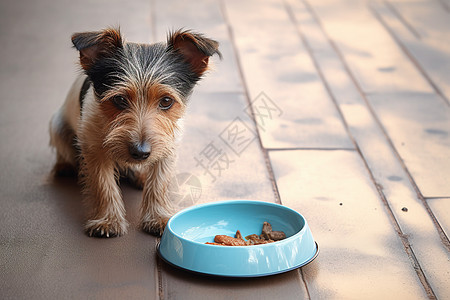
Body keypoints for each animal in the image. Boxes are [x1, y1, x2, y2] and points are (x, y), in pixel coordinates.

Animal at [49, 28, 221, 239]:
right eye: (119, 99)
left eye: (166, 101)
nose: (140, 152)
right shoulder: (94, 148)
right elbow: (103, 185)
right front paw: (108, 221)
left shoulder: (167, 146)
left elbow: (159, 183)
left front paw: (158, 217)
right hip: (57, 126)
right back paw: (64, 166)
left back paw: (141, 176)